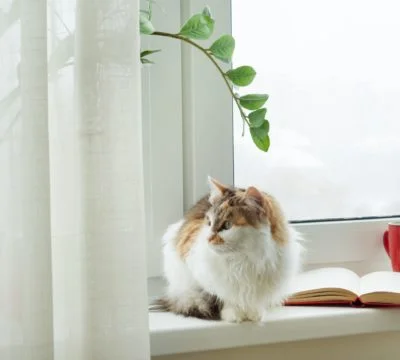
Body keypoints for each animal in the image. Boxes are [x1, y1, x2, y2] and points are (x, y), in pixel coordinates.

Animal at [153, 177, 304, 324]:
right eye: (209, 223)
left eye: (227, 225)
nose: (207, 238)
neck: (244, 259)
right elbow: (224, 297)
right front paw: (233, 313)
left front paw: (254, 312)